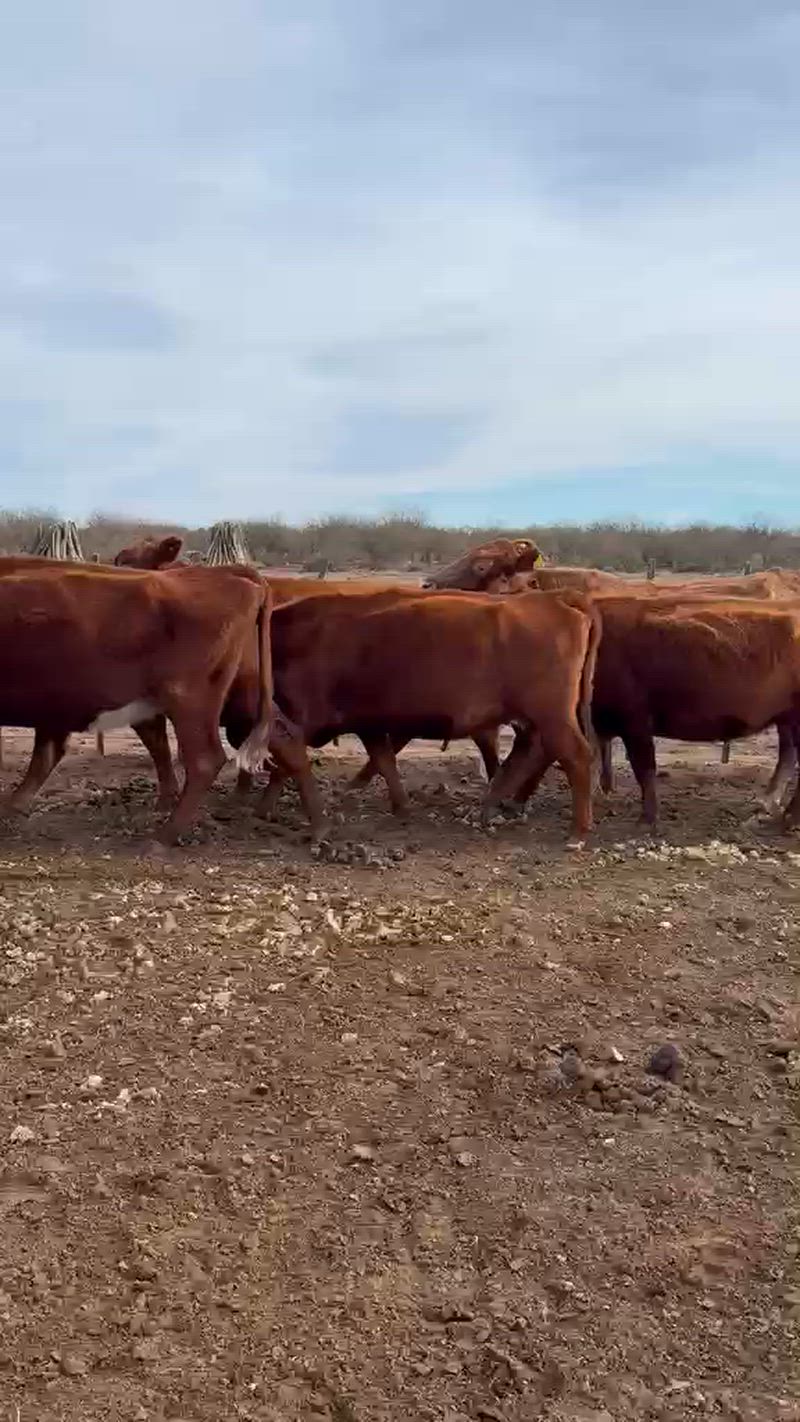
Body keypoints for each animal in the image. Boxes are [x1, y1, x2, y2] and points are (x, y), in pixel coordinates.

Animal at [234, 586, 601, 842]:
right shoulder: (367, 723)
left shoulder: (300, 718)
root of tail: (554, 597)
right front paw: (401, 806)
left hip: (551, 716)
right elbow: (384, 761)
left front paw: (262, 809)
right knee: (528, 754)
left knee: (576, 757)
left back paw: (577, 832)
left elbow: (285, 765)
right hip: (534, 718)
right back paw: (489, 806)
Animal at [504, 595, 800, 829]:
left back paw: (786, 819)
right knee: (787, 756)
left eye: (523, 747)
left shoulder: (635, 722)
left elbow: (644, 768)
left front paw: (647, 818)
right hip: (786, 721)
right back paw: (768, 808)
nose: (508, 805)